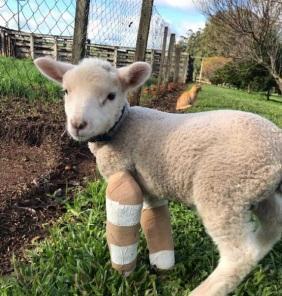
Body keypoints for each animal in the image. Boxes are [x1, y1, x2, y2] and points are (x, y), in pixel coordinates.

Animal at [33, 57, 282, 296]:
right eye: (66, 91)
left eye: (111, 96)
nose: (78, 125)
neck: (121, 128)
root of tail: (276, 144)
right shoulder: (149, 183)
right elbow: (154, 217)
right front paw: (162, 262)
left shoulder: (119, 170)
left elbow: (121, 219)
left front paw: (122, 269)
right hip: (257, 189)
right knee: (273, 225)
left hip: (223, 188)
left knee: (241, 254)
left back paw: (201, 291)